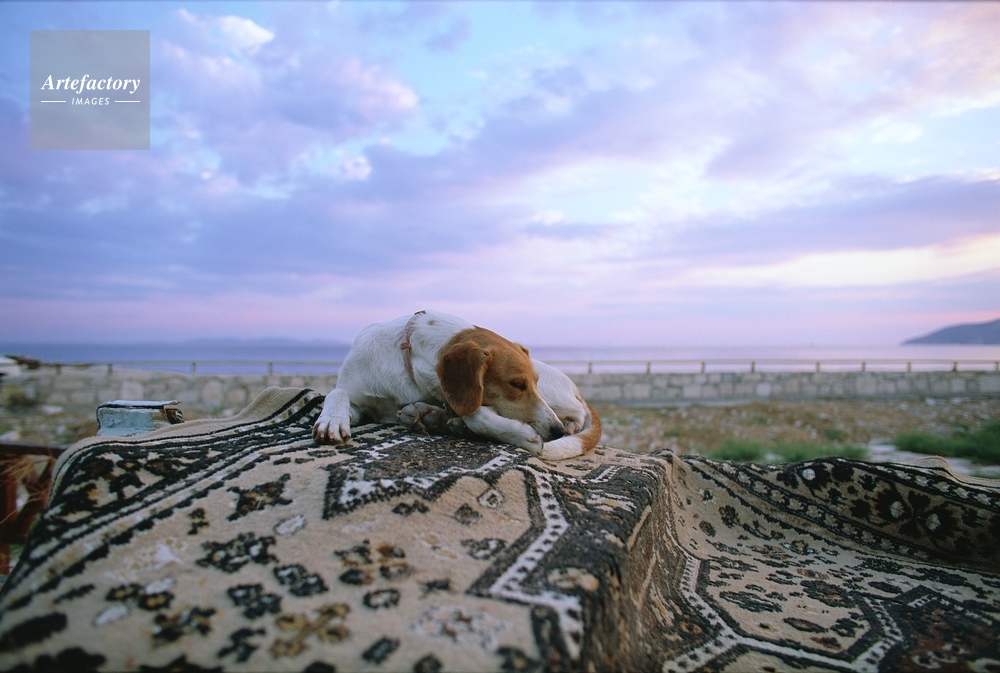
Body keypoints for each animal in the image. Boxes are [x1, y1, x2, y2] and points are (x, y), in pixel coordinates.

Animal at [312, 310, 601, 461]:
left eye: (534, 384)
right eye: (517, 384)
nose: (557, 431)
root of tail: (576, 390)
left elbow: (476, 414)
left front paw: (518, 434)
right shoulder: (357, 400)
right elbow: (337, 393)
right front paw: (331, 420)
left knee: (575, 415)